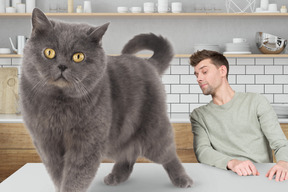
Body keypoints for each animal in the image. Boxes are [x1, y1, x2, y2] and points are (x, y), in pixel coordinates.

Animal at [20, 8, 194, 191]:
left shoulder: (87, 142)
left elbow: (76, 174)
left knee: (167, 154)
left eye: (78, 56)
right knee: (129, 154)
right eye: (49, 52)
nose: (62, 65)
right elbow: (57, 173)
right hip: (121, 136)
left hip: (153, 131)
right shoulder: (46, 142)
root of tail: (148, 63)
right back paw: (116, 176)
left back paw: (183, 179)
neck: (59, 103)